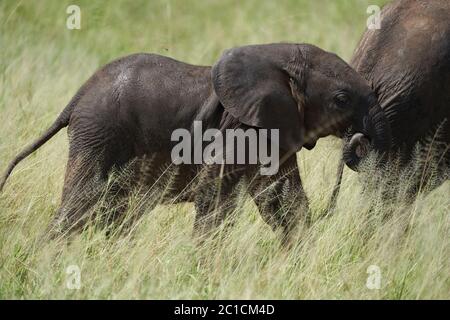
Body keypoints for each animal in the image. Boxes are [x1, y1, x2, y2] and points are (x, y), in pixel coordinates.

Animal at [0, 43, 390, 241]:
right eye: (341, 99)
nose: (360, 139)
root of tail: (77, 96)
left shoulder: (274, 129)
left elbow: (282, 198)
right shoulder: (242, 128)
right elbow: (216, 195)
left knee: (111, 209)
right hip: (99, 131)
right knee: (81, 202)